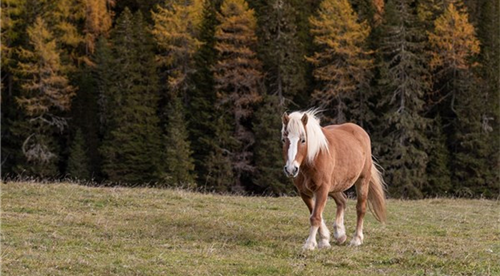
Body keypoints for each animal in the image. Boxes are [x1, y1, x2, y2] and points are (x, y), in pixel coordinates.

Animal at [282, 110, 386, 250]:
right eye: (284, 139)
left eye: (303, 140)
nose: (291, 169)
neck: (314, 158)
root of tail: (360, 131)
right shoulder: (304, 192)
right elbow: (315, 214)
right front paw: (324, 240)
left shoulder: (322, 189)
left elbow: (315, 216)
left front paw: (310, 244)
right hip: (334, 186)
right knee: (342, 201)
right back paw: (340, 234)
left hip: (362, 180)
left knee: (360, 208)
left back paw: (356, 239)